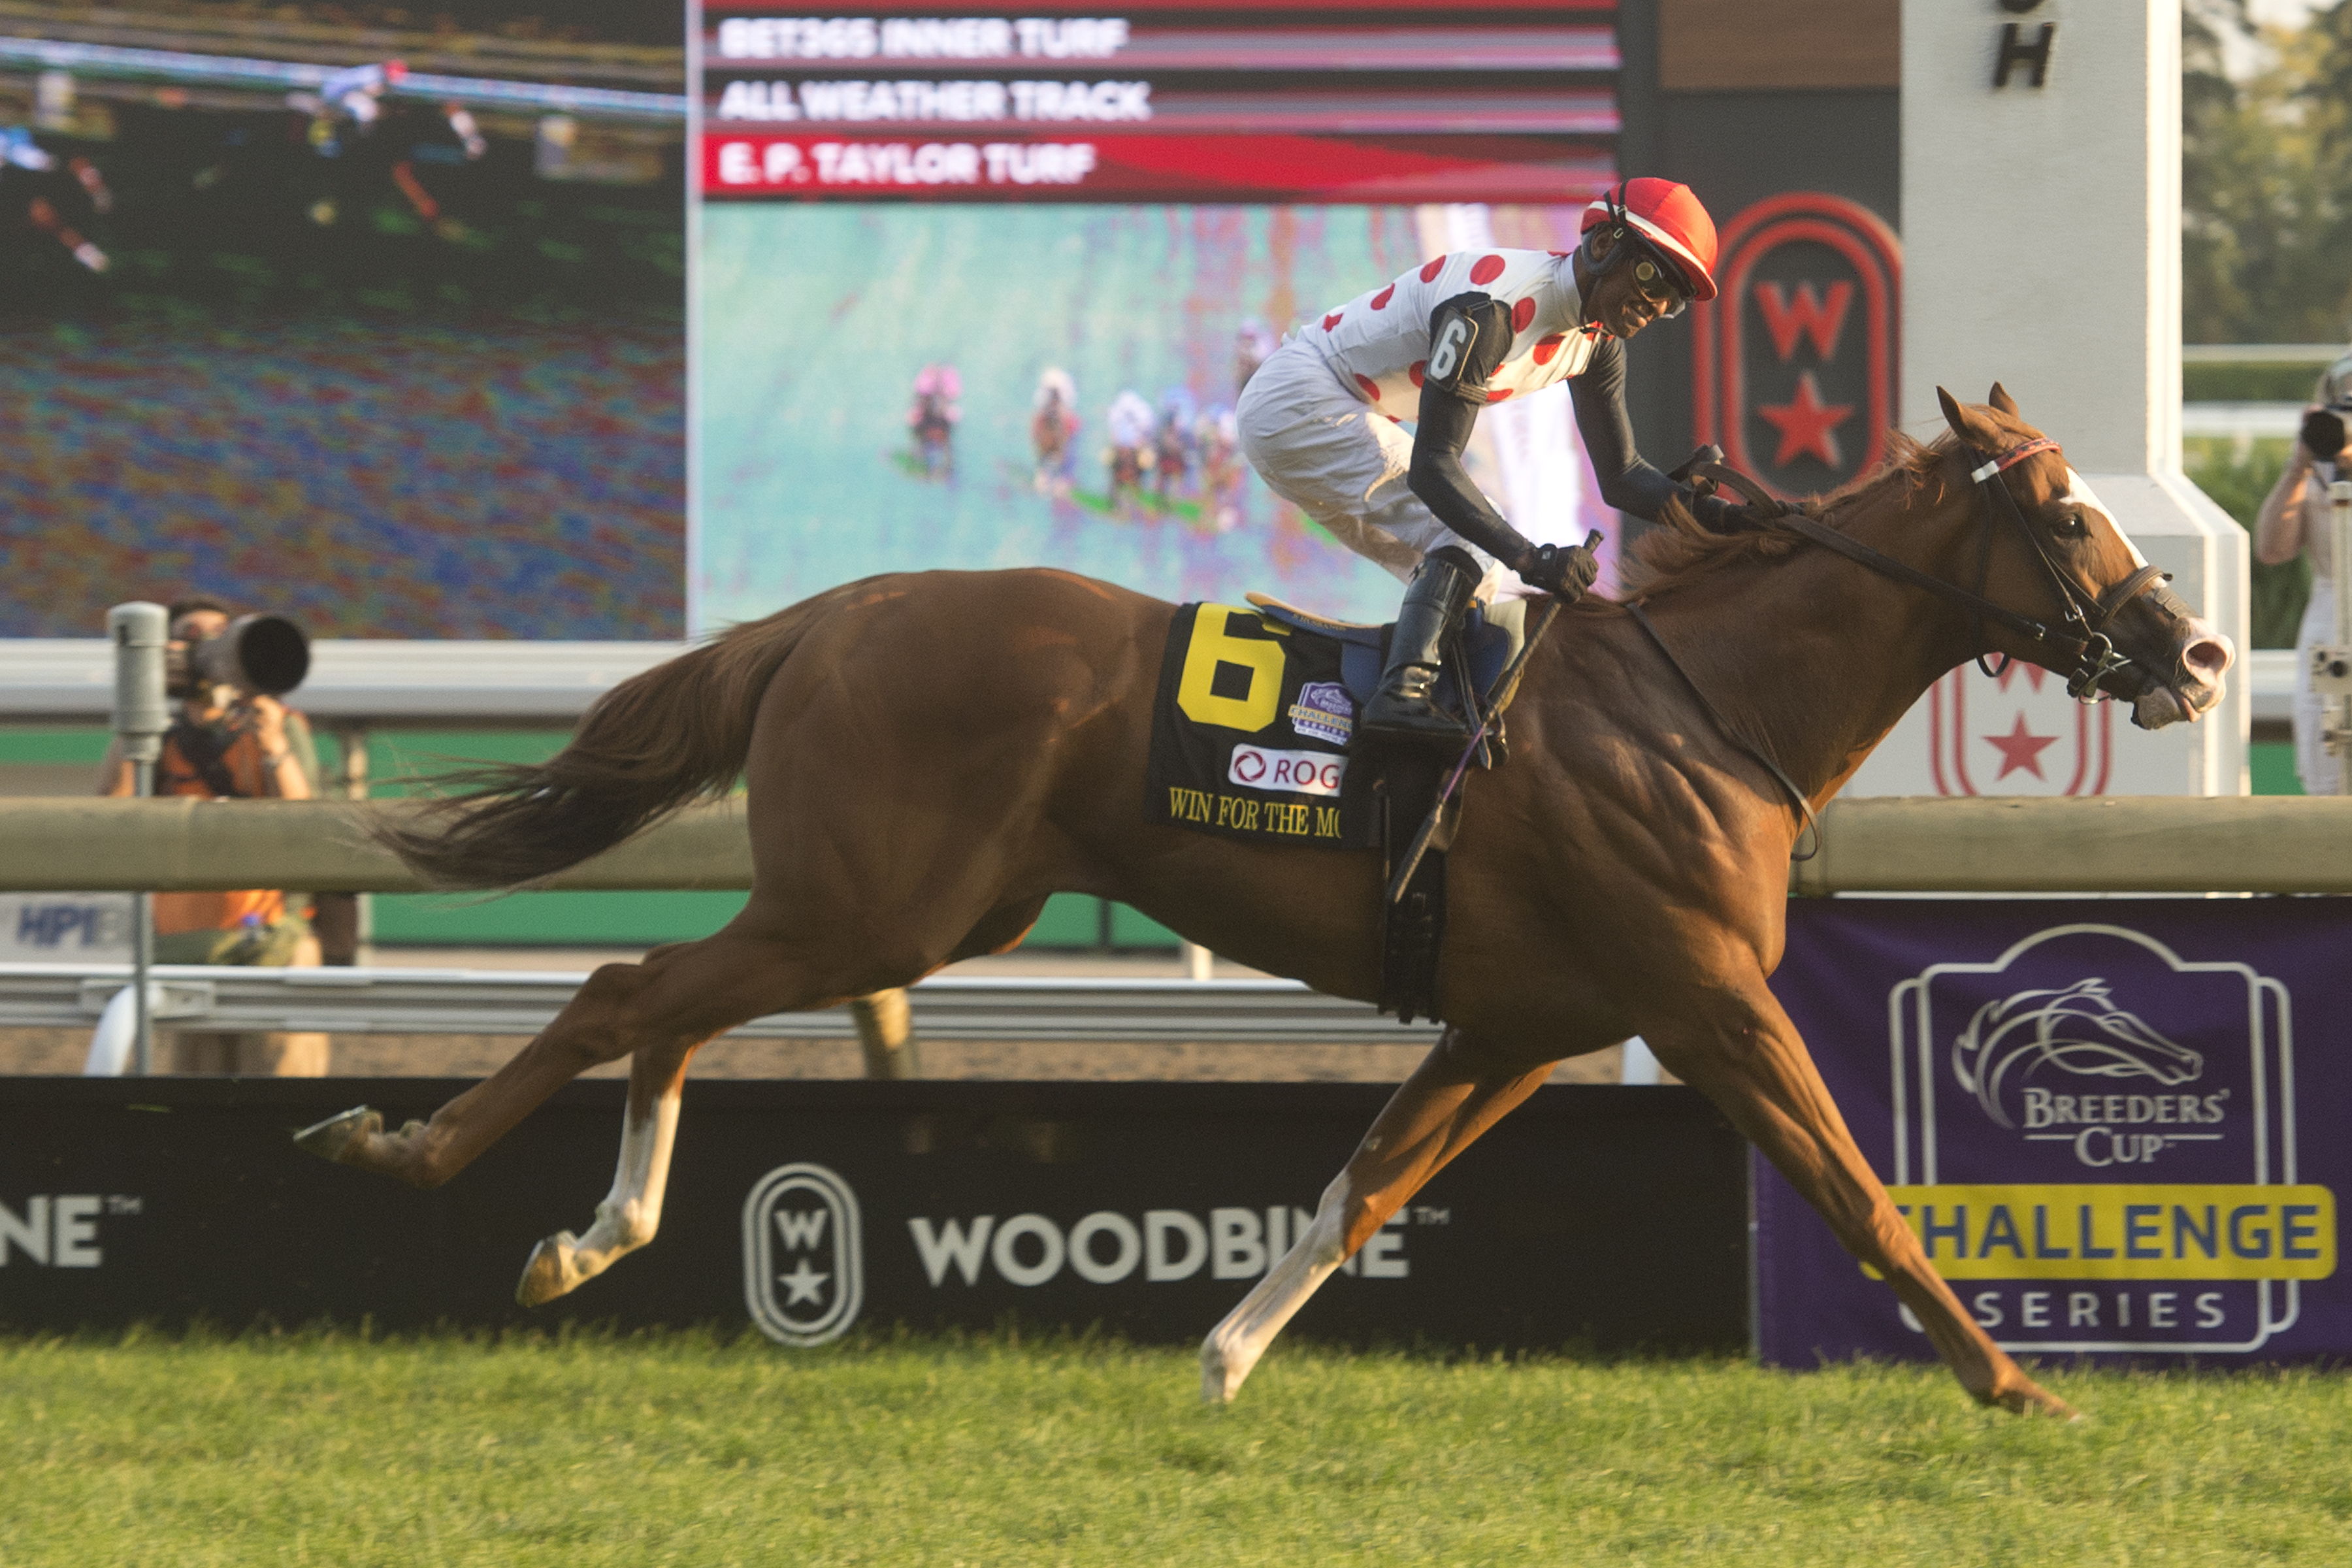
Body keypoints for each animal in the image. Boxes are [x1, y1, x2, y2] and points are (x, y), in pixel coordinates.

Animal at [303, 385, 2229, 1420]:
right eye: (2067, 513)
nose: (2197, 650)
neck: (1701, 704)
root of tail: (838, 608)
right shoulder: (1707, 1001)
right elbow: (1862, 1193)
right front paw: (2015, 1382)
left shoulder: (1522, 1020)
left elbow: (1364, 1181)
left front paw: (1221, 1357)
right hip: (879, 906)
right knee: (626, 990)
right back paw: (419, 1154)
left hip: (917, 910)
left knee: (666, 1001)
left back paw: (589, 1231)